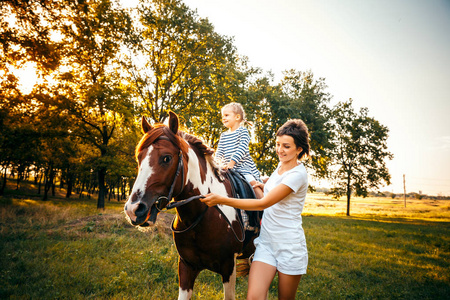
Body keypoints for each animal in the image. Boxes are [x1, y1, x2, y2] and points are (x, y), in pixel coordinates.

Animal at [123, 112, 256, 300]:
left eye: (166, 158)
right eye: (139, 158)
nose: (133, 209)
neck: (201, 216)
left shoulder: (228, 267)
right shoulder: (186, 266)